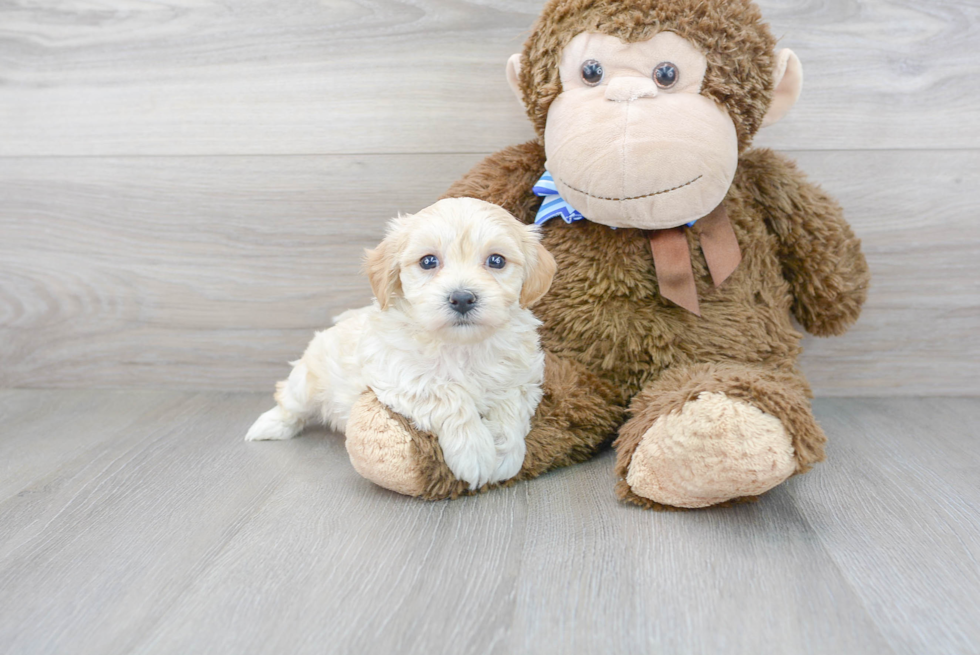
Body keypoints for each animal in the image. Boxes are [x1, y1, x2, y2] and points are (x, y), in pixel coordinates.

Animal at [247, 197, 560, 490]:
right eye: (428, 261)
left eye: (496, 261)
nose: (462, 298)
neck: (461, 347)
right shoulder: (403, 377)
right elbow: (448, 395)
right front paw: (475, 452)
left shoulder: (523, 379)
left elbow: (511, 407)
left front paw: (506, 455)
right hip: (307, 380)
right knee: (289, 402)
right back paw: (269, 426)